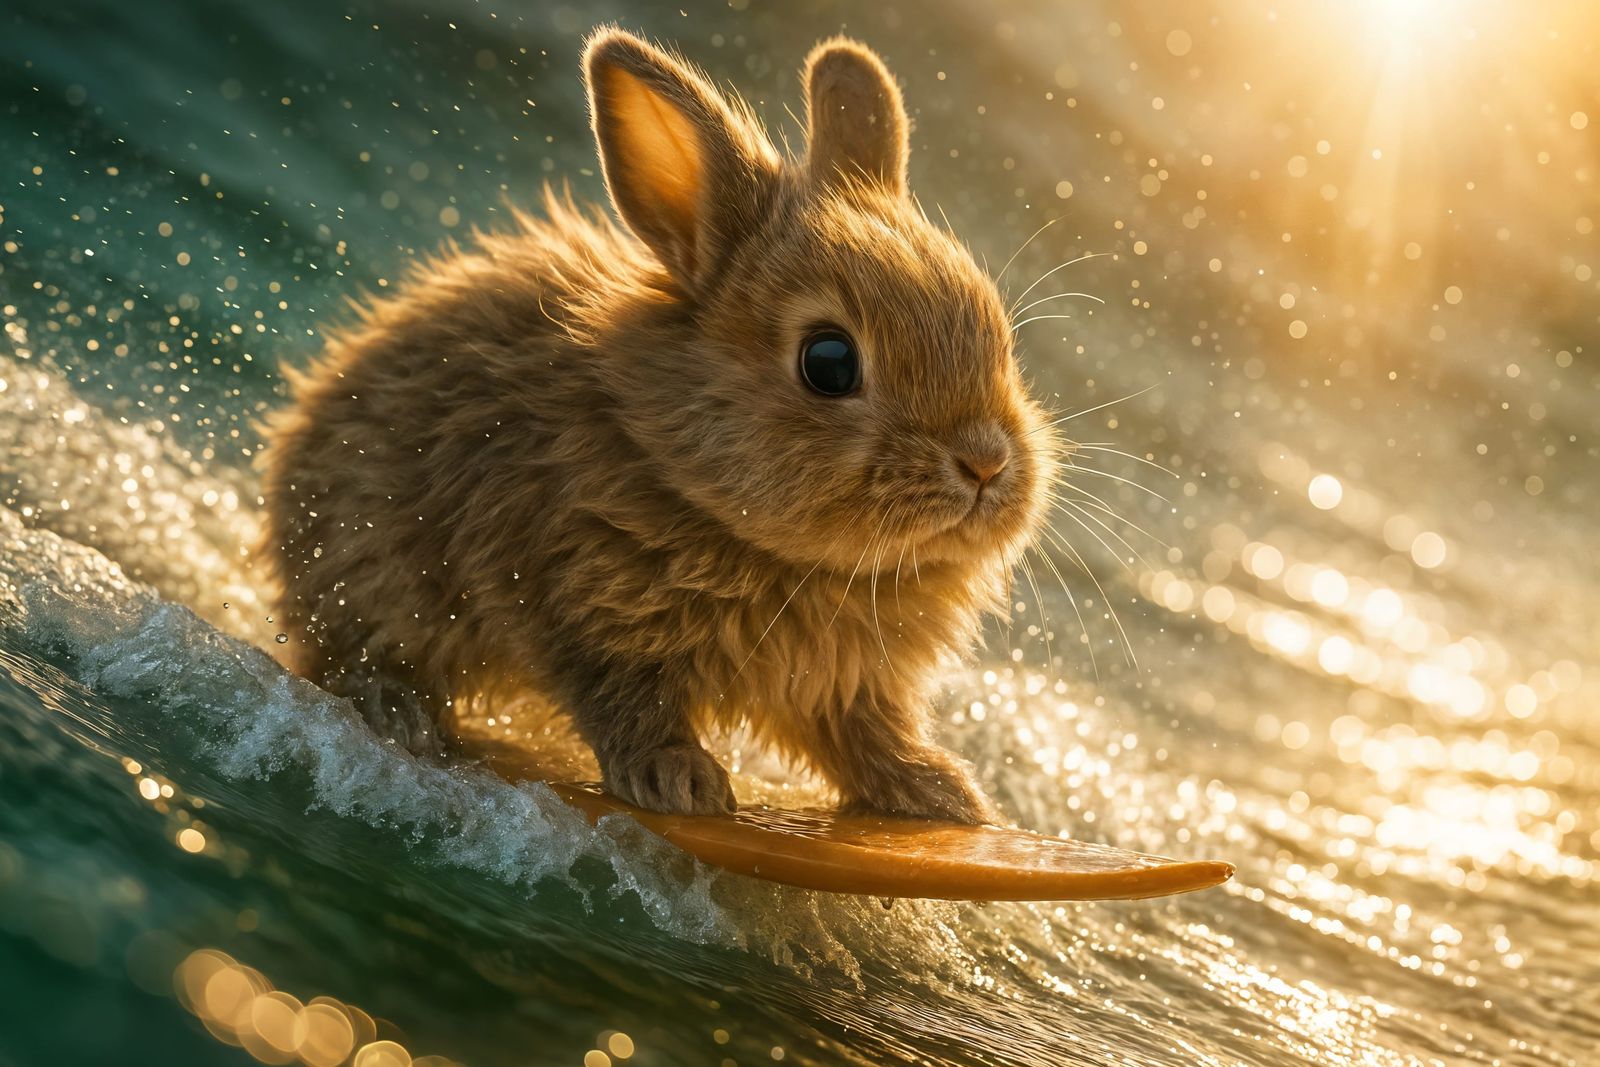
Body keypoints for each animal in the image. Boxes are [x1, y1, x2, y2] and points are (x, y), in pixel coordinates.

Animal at [259, 27, 1057, 823]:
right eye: (828, 362)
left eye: (1001, 338)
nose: (985, 464)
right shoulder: (584, 612)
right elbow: (628, 702)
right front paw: (682, 780)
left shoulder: (849, 685)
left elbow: (865, 735)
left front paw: (945, 796)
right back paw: (397, 708)